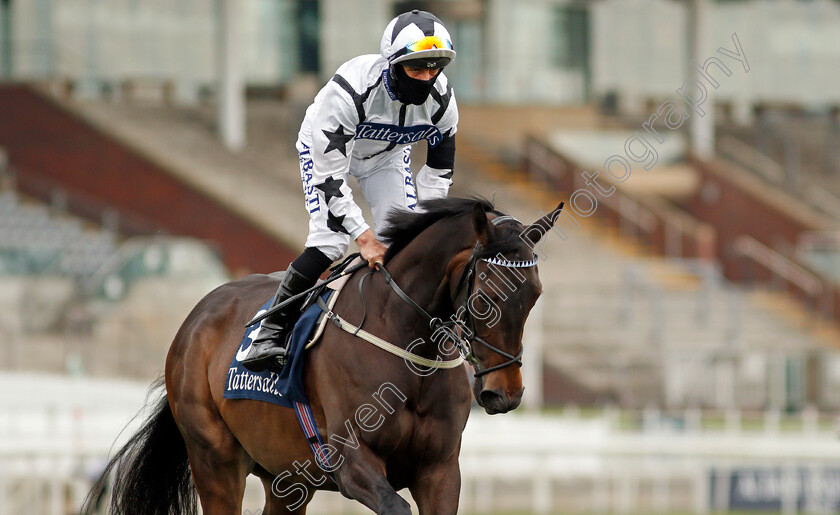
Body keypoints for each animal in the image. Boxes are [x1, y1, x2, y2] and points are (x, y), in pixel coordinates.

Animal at [83, 199, 564, 515]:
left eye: (536, 295)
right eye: (487, 296)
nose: (506, 394)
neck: (409, 350)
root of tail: (195, 319)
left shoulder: (440, 470)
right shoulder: (353, 463)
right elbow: (395, 507)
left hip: (286, 479)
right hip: (214, 460)